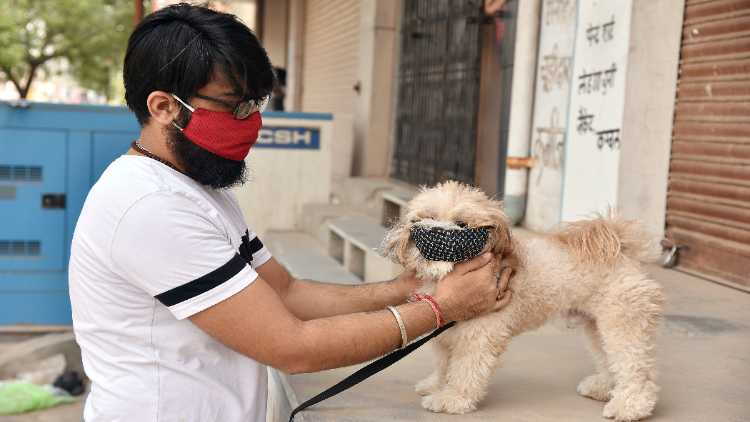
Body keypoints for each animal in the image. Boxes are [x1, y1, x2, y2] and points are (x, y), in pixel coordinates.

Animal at [384, 181, 668, 422]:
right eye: (426, 217)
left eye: (462, 224)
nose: (432, 231)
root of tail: (622, 250)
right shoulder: (447, 336)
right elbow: (444, 365)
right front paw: (436, 385)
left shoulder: (479, 336)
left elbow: (466, 370)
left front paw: (452, 399)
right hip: (596, 326)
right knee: (609, 358)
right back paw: (604, 387)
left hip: (622, 322)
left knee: (635, 366)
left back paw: (630, 406)